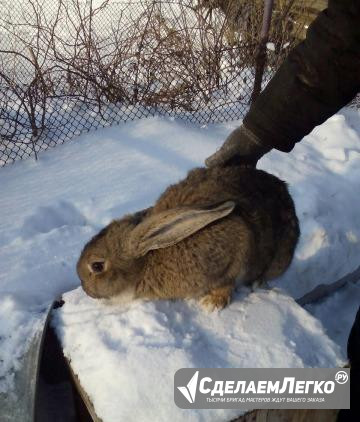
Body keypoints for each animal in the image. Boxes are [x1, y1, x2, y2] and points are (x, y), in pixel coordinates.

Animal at [76, 166, 298, 310]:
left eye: (97, 266)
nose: (86, 290)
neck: (148, 258)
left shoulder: (235, 249)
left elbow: (227, 281)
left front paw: (211, 304)